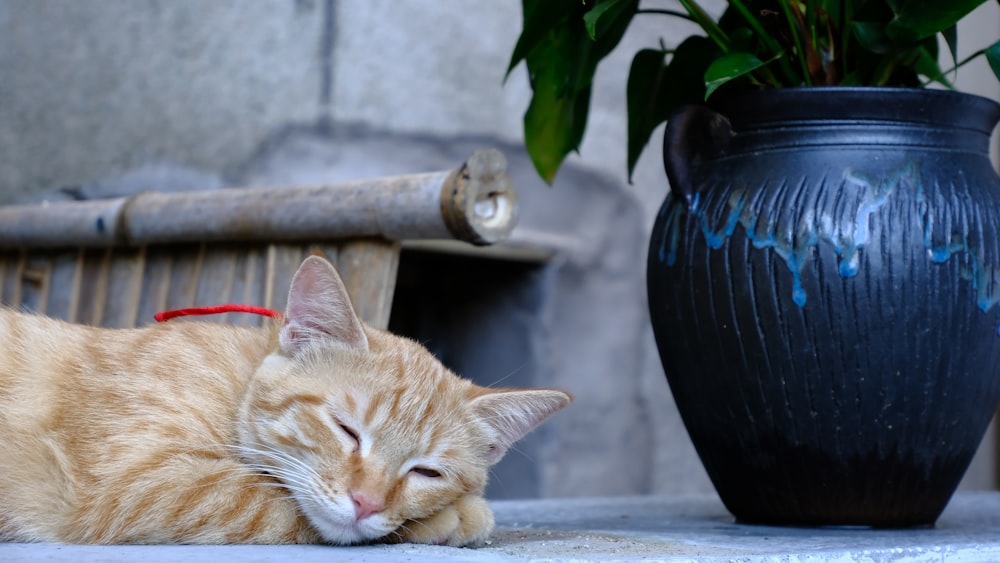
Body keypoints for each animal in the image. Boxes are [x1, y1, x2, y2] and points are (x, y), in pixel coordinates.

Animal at [0, 256, 572, 548]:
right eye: (345, 429)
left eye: (427, 472)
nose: (366, 503)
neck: (236, 379)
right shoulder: (140, 480)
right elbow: (272, 503)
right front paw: (453, 518)